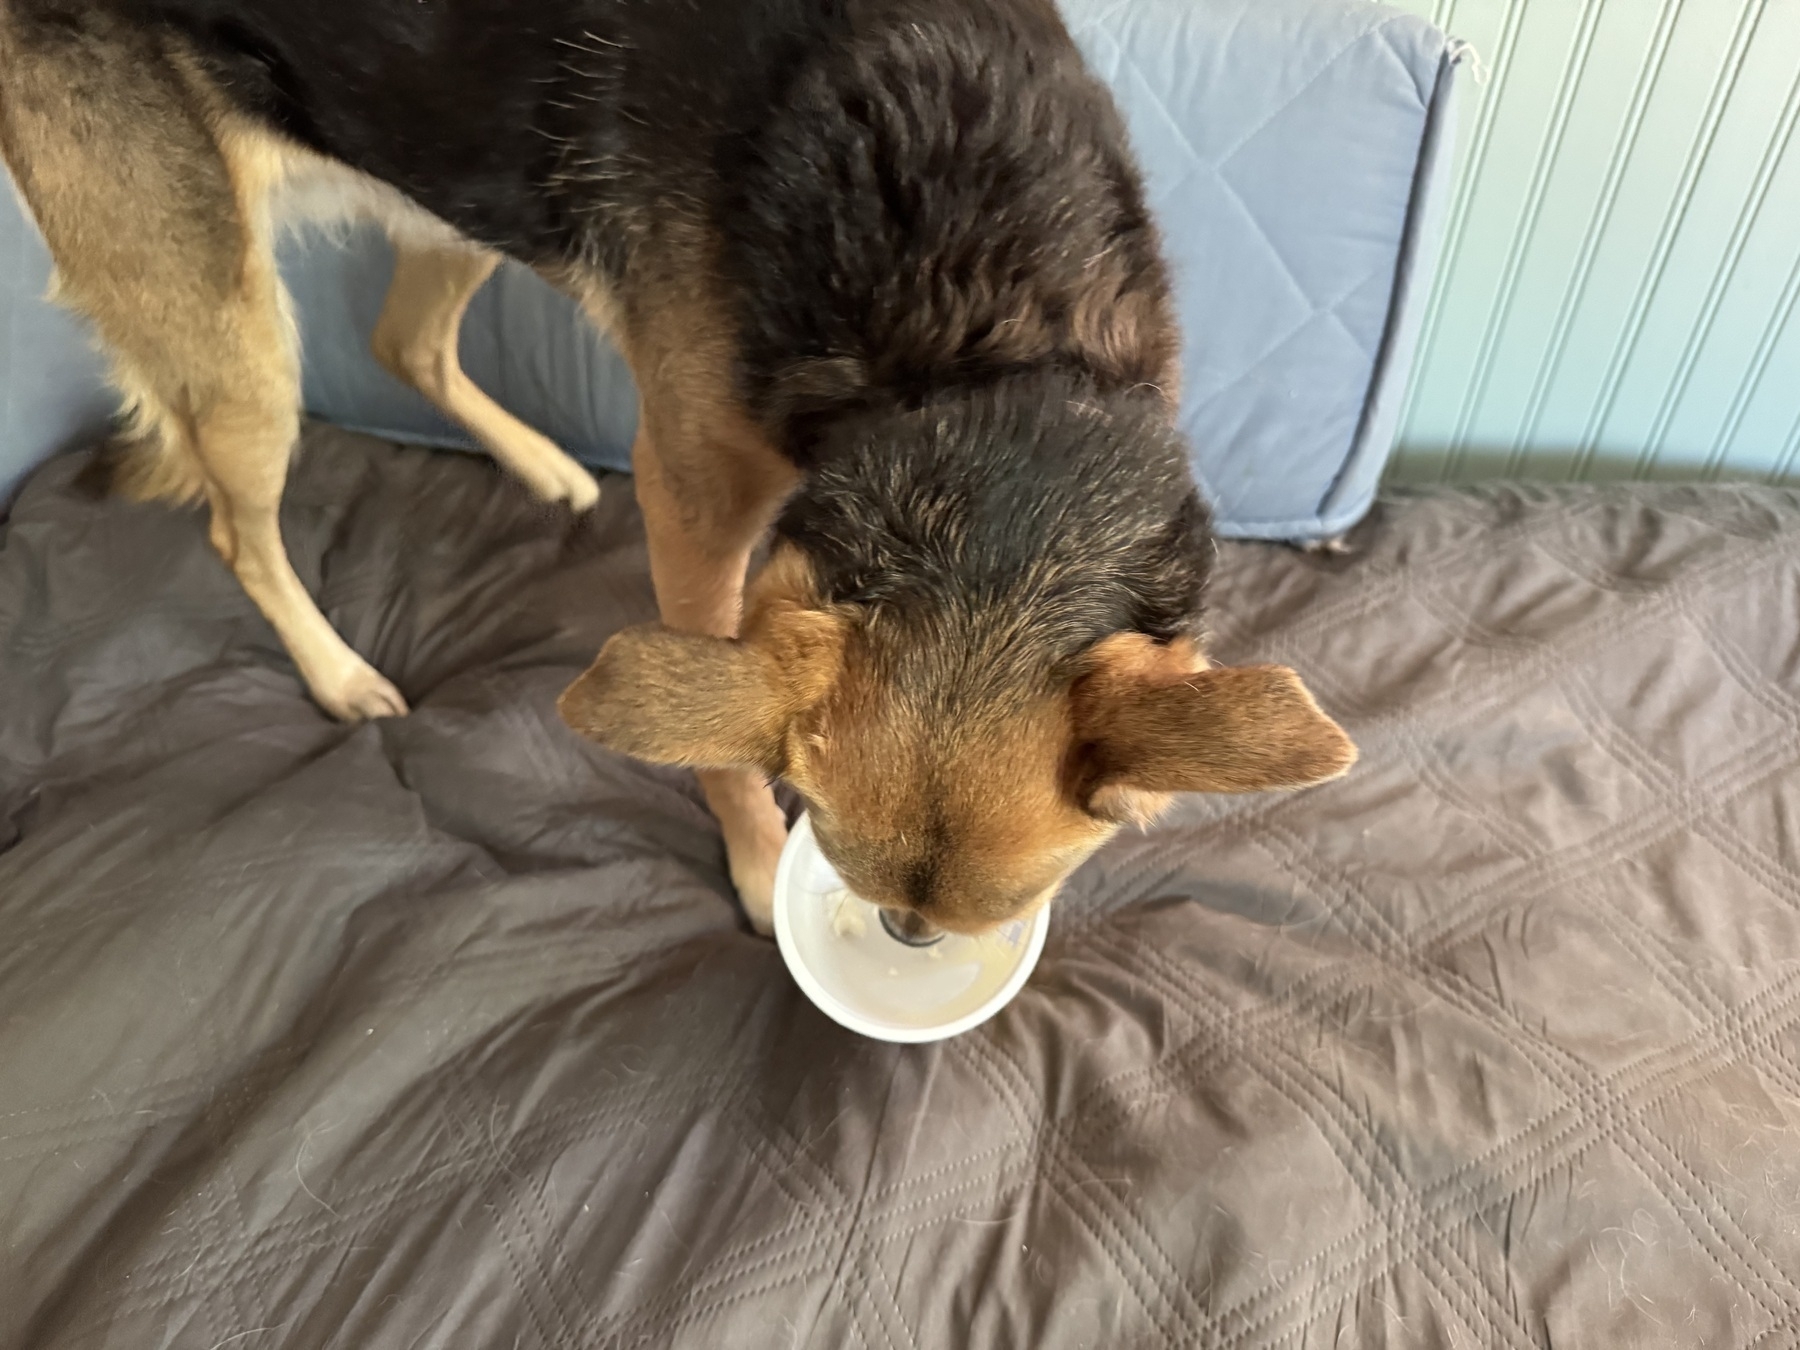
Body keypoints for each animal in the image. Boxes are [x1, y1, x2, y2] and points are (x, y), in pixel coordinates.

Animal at [0, 0, 1353, 943]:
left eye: (1017, 900)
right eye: (840, 861)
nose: (909, 941)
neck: (983, 344)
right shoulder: (696, 510)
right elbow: (721, 731)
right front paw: (755, 868)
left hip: (457, 183)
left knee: (403, 343)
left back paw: (543, 465)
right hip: (228, 322)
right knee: (242, 527)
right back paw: (339, 675)